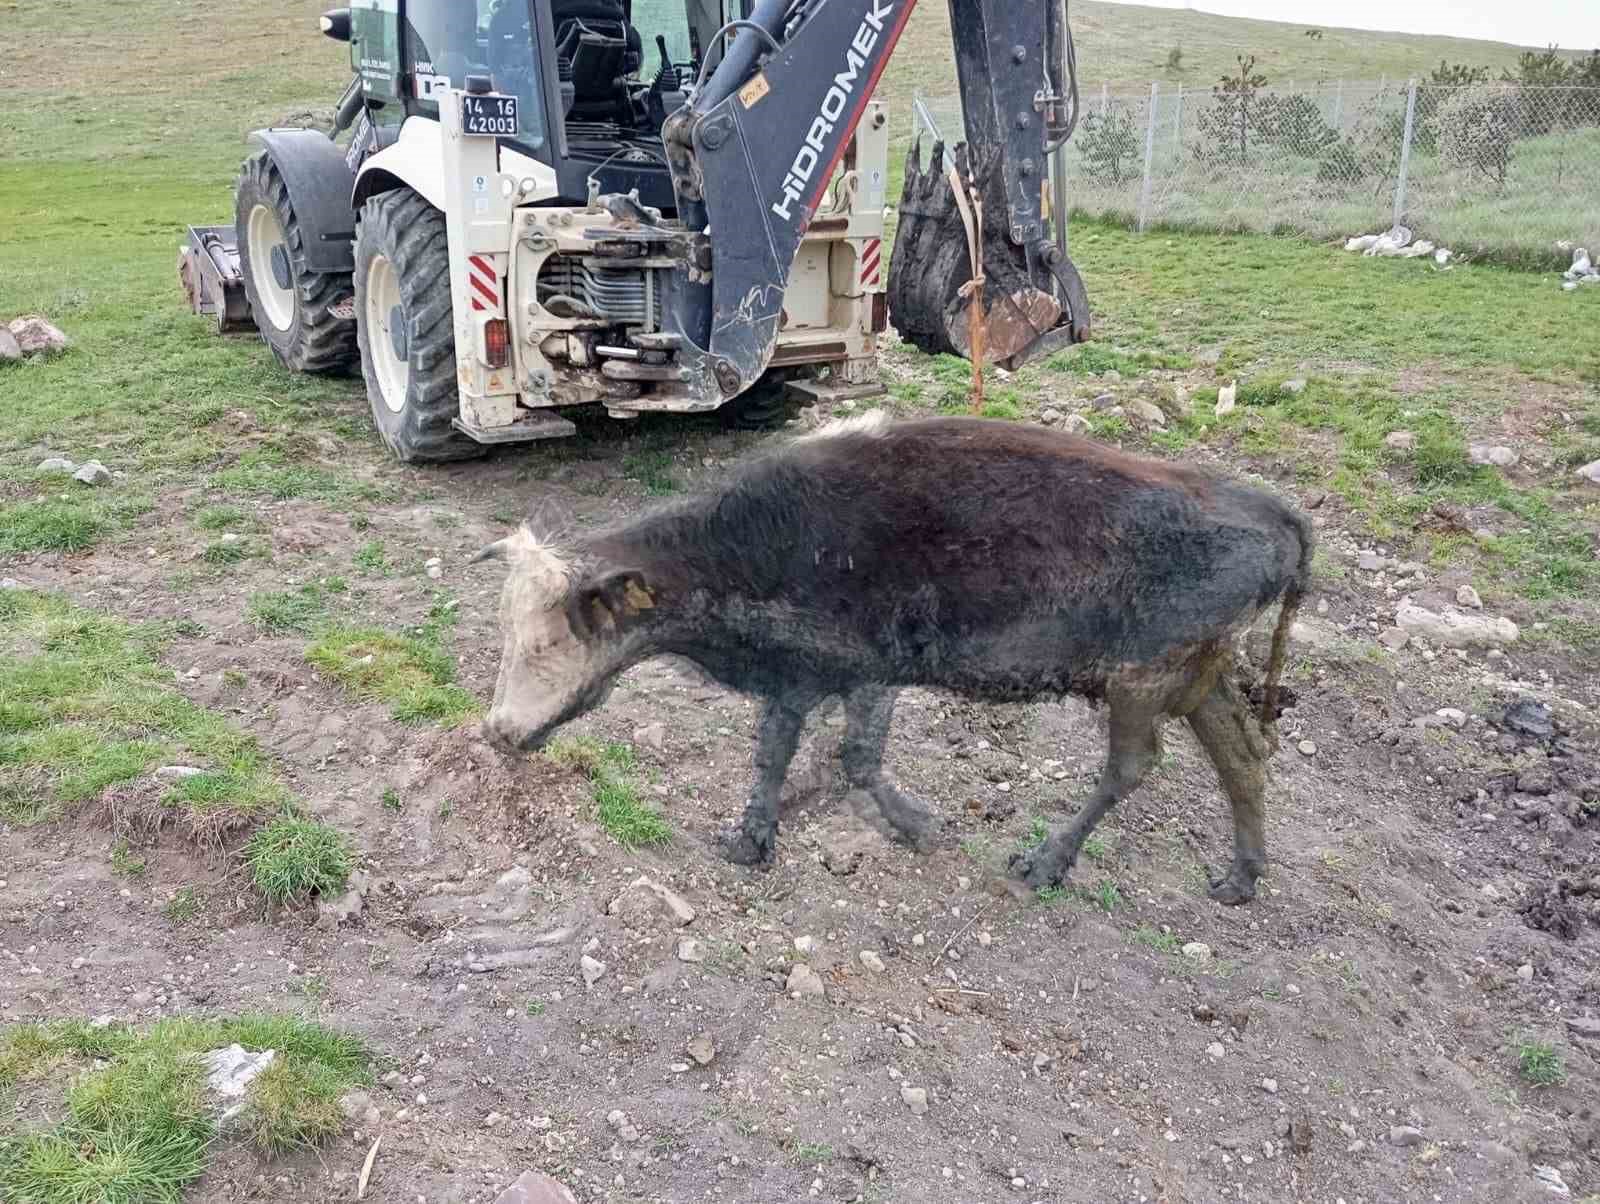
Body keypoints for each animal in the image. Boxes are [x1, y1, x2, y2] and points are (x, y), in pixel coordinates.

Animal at [473, 413, 1312, 903]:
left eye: (548, 641)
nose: (496, 732)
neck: (760, 543)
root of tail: (1273, 511)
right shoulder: (809, 674)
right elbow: (782, 753)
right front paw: (751, 840)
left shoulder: (862, 671)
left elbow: (850, 759)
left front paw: (915, 826)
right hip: (1200, 674)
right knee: (1240, 755)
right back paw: (1240, 878)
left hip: (1142, 680)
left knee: (1134, 766)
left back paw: (1045, 862)